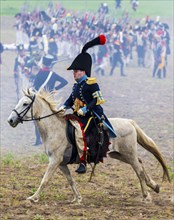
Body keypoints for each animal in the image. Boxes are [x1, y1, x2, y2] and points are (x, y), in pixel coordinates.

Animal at [7, 87, 170, 203]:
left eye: (25, 103)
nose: (11, 120)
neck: (54, 128)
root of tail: (130, 122)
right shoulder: (61, 163)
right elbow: (70, 180)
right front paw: (77, 198)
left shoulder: (54, 161)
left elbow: (45, 180)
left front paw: (33, 198)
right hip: (120, 154)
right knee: (140, 163)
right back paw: (154, 186)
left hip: (128, 154)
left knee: (139, 171)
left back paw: (146, 196)